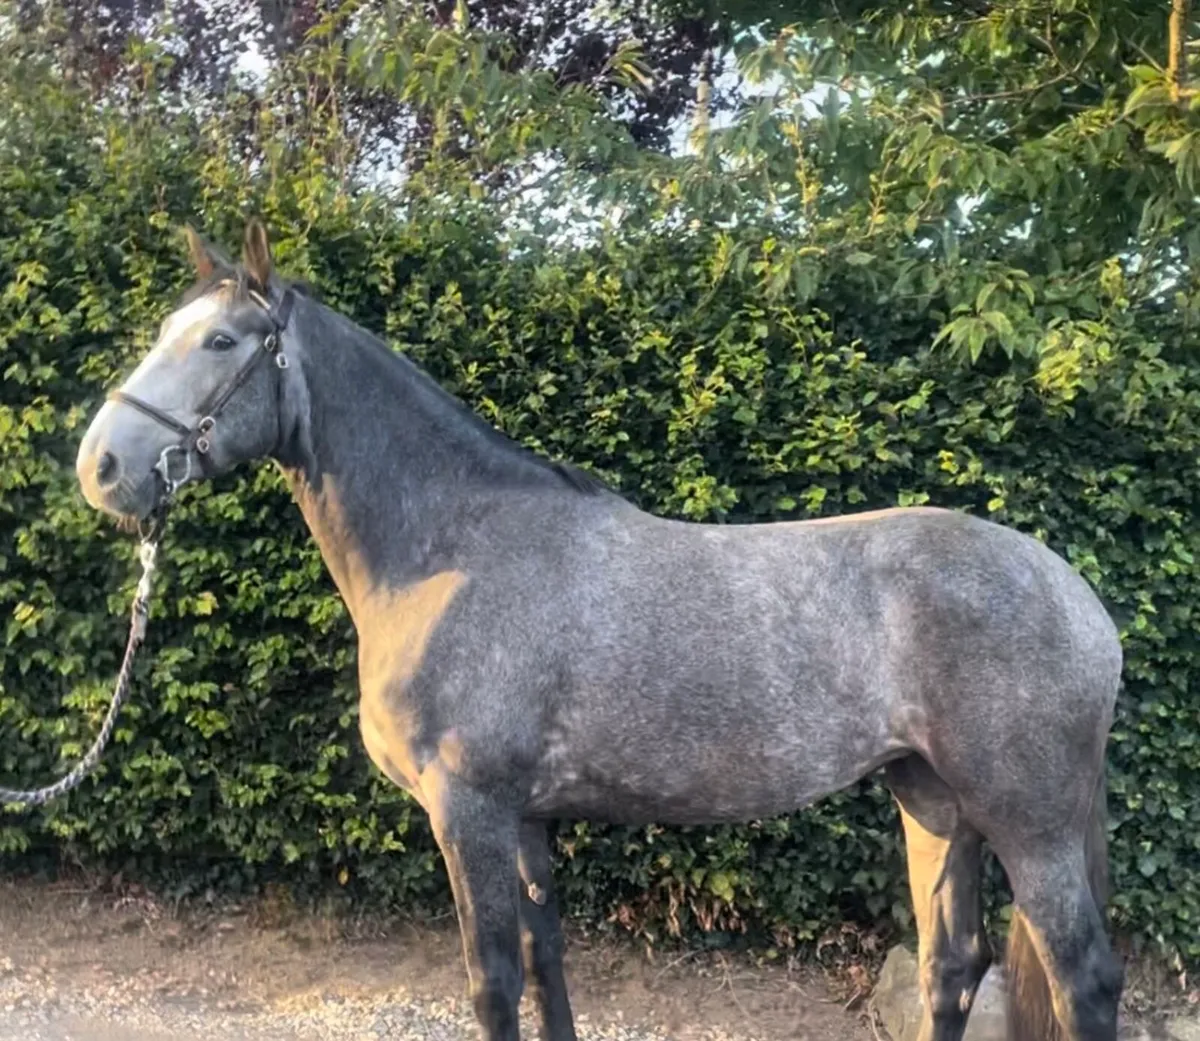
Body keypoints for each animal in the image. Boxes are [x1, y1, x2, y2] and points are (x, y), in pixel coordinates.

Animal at [75, 220, 1124, 1041]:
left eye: (220, 340)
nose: (101, 466)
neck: (454, 549)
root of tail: (1082, 599)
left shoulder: (469, 810)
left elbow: (494, 983)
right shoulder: (526, 819)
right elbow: (547, 971)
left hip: (1026, 820)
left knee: (1083, 975)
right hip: (933, 803)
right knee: (952, 965)